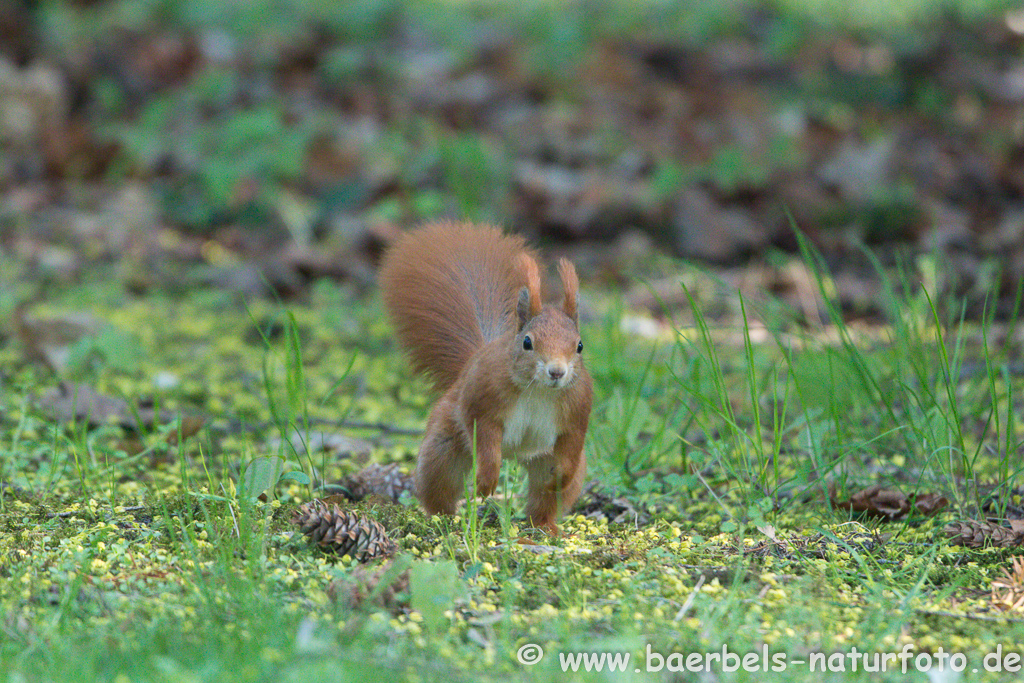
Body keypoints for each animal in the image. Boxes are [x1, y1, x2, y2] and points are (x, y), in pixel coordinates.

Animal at [382, 223, 593, 532]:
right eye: (527, 342)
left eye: (579, 346)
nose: (557, 371)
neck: (539, 390)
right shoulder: (483, 399)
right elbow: (485, 436)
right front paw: (486, 482)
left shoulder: (577, 410)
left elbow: (572, 445)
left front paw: (560, 478)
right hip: (442, 450)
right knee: (439, 486)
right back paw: (445, 519)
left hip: (546, 461)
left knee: (545, 499)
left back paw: (544, 527)